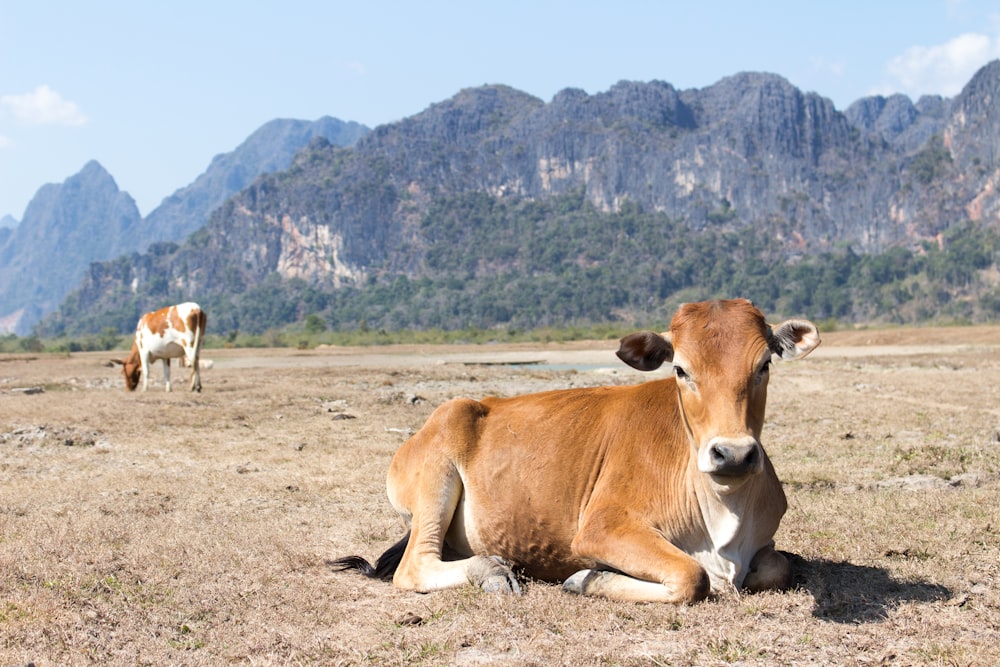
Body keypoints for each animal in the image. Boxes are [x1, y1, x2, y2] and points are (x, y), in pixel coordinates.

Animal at [336, 300, 820, 604]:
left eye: (764, 364)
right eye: (681, 369)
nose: (733, 454)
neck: (725, 512)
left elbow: (779, 567)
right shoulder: (601, 528)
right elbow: (692, 576)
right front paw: (583, 579)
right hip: (435, 479)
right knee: (414, 566)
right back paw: (492, 571)